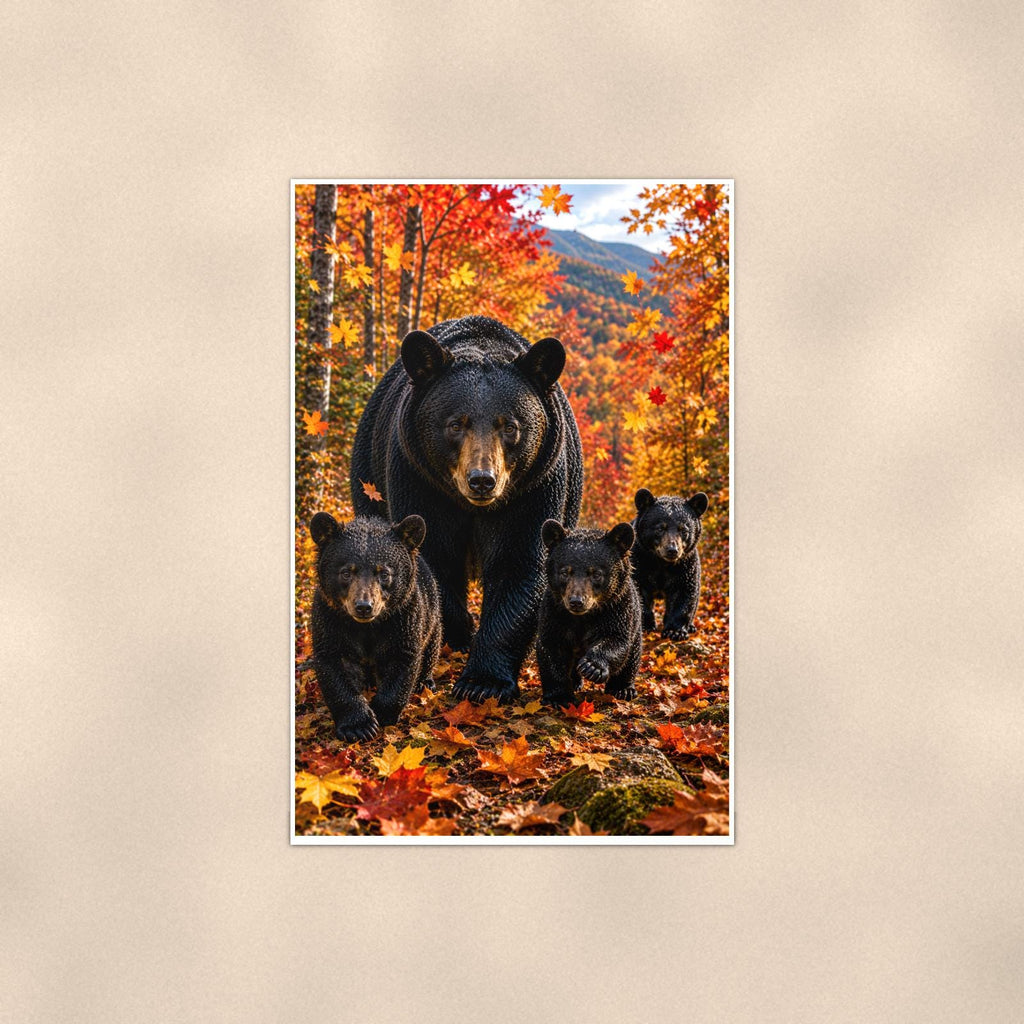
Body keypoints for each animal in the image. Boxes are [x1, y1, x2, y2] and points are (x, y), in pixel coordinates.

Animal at [308, 512, 441, 742]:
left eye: (384, 573)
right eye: (346, 572)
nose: (364, 606)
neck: (367, 627)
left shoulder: (403, 619)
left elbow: (402, 661)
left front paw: (382, 713)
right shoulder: (330, 620)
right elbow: (334, 665)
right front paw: (358, 726)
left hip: (432, 615)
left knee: (431, 648)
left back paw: (425, 682)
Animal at [350, 315, 583, 704]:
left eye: (510, 425)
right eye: (456, 423)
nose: (482, 480)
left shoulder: (534, 487)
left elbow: (519, 562)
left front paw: (482, 681)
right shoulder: (419, 479)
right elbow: (433, 561)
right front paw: (456, 637)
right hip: (369, 475)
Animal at [535, 519, 642, 708]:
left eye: (596, 573)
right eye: (565, 571)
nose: (576, 601)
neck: (584, 616)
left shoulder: (617, 609)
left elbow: (616, 640)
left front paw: (592, 667)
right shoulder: (554, 611)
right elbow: (551, 647)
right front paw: (559, 697)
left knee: (632, 657)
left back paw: (623, 689)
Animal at [631, 489, 709, 640]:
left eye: (683, 530)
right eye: (660, 528)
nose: (672, 550)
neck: (661, 563)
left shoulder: (686, 566)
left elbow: (683, 594)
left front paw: (675, 631)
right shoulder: (639, 562)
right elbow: (640, 593)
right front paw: (646, 626)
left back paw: (691, 626)